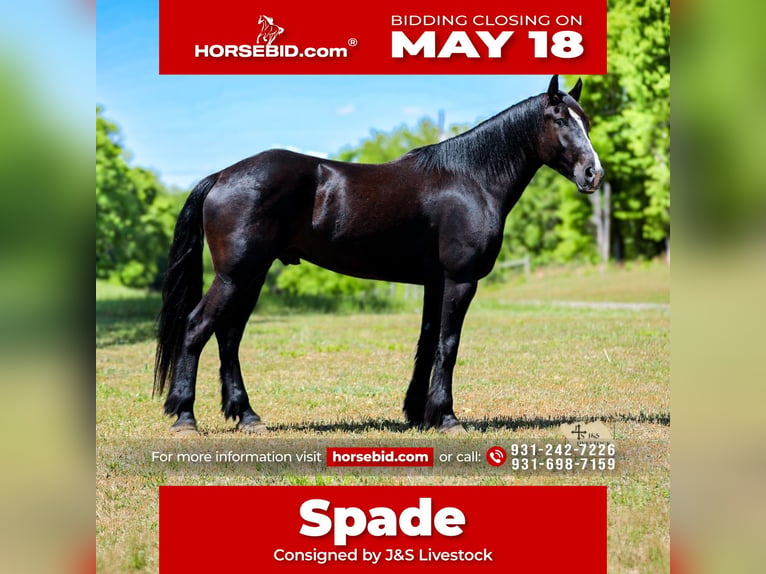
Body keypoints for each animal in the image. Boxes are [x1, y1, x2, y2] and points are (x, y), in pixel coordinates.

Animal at [154, 75, 603, 434]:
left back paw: (247, 416)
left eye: (585, 120)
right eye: (560, 120)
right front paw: (448, 418)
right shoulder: (459, 280)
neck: (470, 179)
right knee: (197, 328)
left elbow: (427, 343)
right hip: (234, 275)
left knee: (229, 337)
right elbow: (448, 344)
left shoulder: (434, 282)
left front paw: (420, 414)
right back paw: (185, 418)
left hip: (253, 274)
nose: (593, 174)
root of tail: (221, 176)